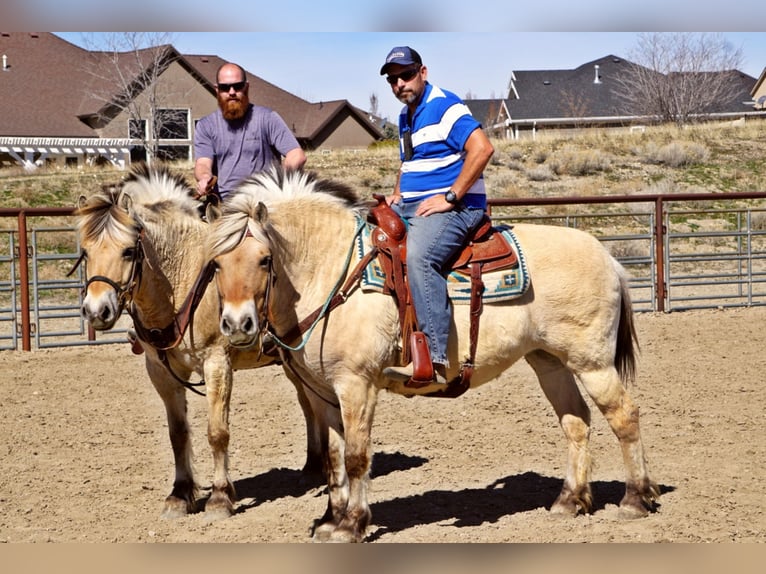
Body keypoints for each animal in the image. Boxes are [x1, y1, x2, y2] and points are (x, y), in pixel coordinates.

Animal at [73, 164, 324, 524]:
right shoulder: (160, 370)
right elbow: (178, 433)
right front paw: (179, 495)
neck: (183, 279)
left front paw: (219, 498)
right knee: (308, 404)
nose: (96, 311)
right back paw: (314, 466)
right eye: (85, 252)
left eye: (128, 251)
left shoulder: (217, 362)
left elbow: (217, 432)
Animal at [207, 166, 664, 544]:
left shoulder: (357, 384)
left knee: (624, 416)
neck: (331, 270)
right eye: (215, 264)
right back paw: (570, 501)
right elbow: (334, 458)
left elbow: (356, 456)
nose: (237, 324)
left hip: (592, 363)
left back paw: (635, 500)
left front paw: (353, 525)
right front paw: (329, 520)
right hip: (549, 362)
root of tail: (608, 257)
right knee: (576, 423)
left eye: (264, 259)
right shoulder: (323, 393)